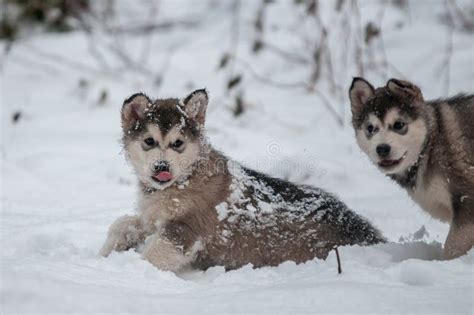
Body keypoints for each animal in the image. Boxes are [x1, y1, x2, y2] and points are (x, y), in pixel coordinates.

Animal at [101, 88, 386, 272]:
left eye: (178, 143)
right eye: (149, 141)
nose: (162, 167)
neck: (183, 181)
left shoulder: (185, 231)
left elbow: (152, 255)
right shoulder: (153, 219)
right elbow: (121, 224)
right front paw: (106, 252)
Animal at [348, 78, 474, 260]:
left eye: (398, 124)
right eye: (370, 128)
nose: (382, 149)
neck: (429, 148)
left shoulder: (466, 199)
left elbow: (453, 248)